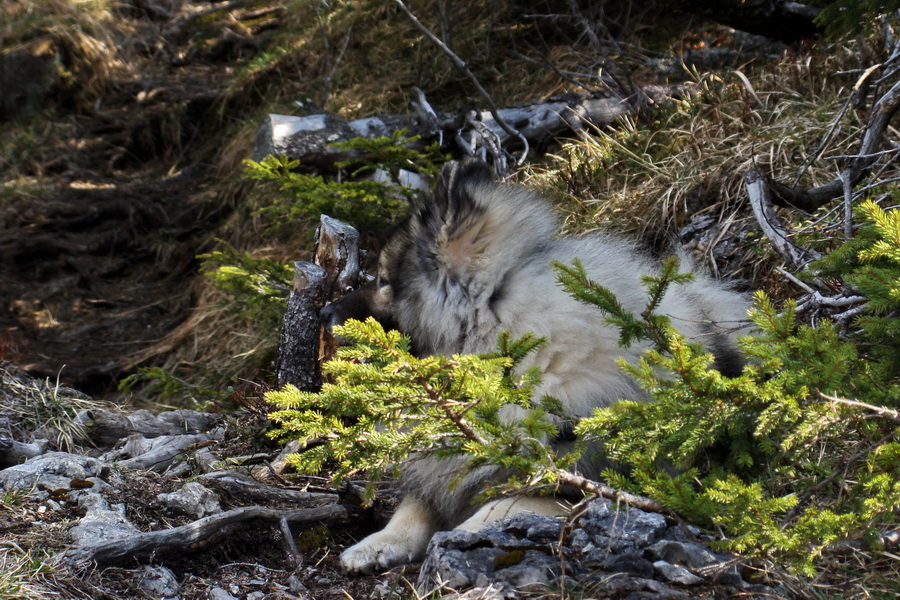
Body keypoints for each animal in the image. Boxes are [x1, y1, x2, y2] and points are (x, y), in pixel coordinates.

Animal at [320, 161, 748, 576]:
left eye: (384, 281)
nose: (325, 312)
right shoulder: (445, 468)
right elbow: (415, 505)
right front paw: (379, 543)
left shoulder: (582, 488)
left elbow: (500, 506)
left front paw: (456, 537)